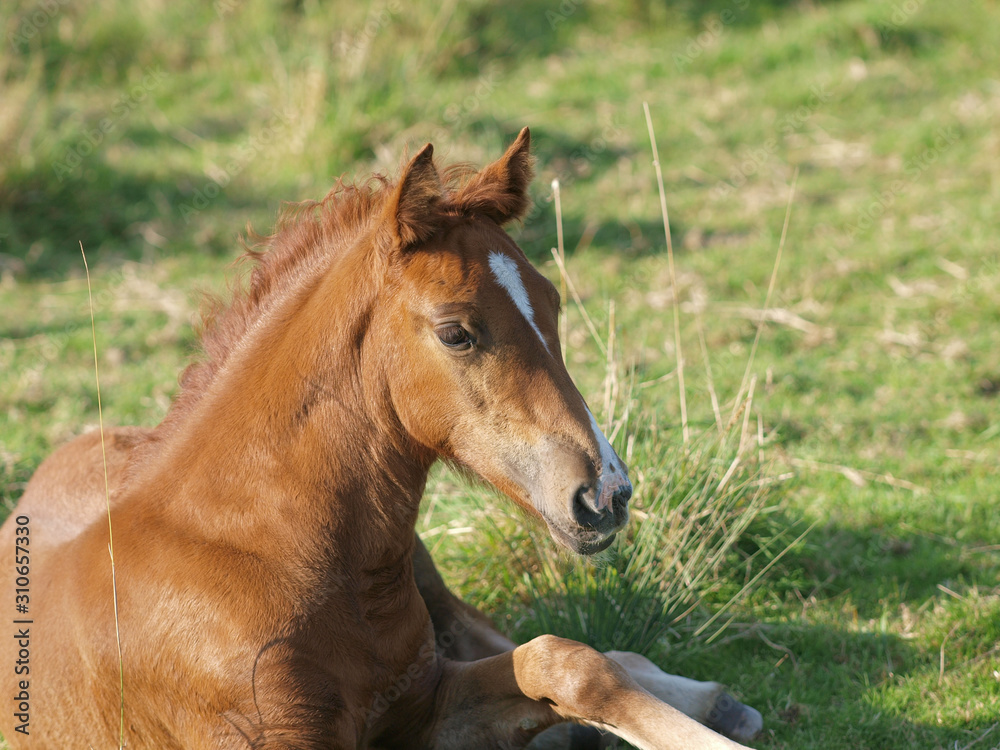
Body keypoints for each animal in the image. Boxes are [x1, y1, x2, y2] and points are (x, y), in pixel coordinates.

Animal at [1, 132, 756, 748]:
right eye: (456, 332)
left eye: (552, 302)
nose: (606, 494)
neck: (262, 550)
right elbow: (563, 660)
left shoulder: (423, 706)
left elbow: (566, 660)